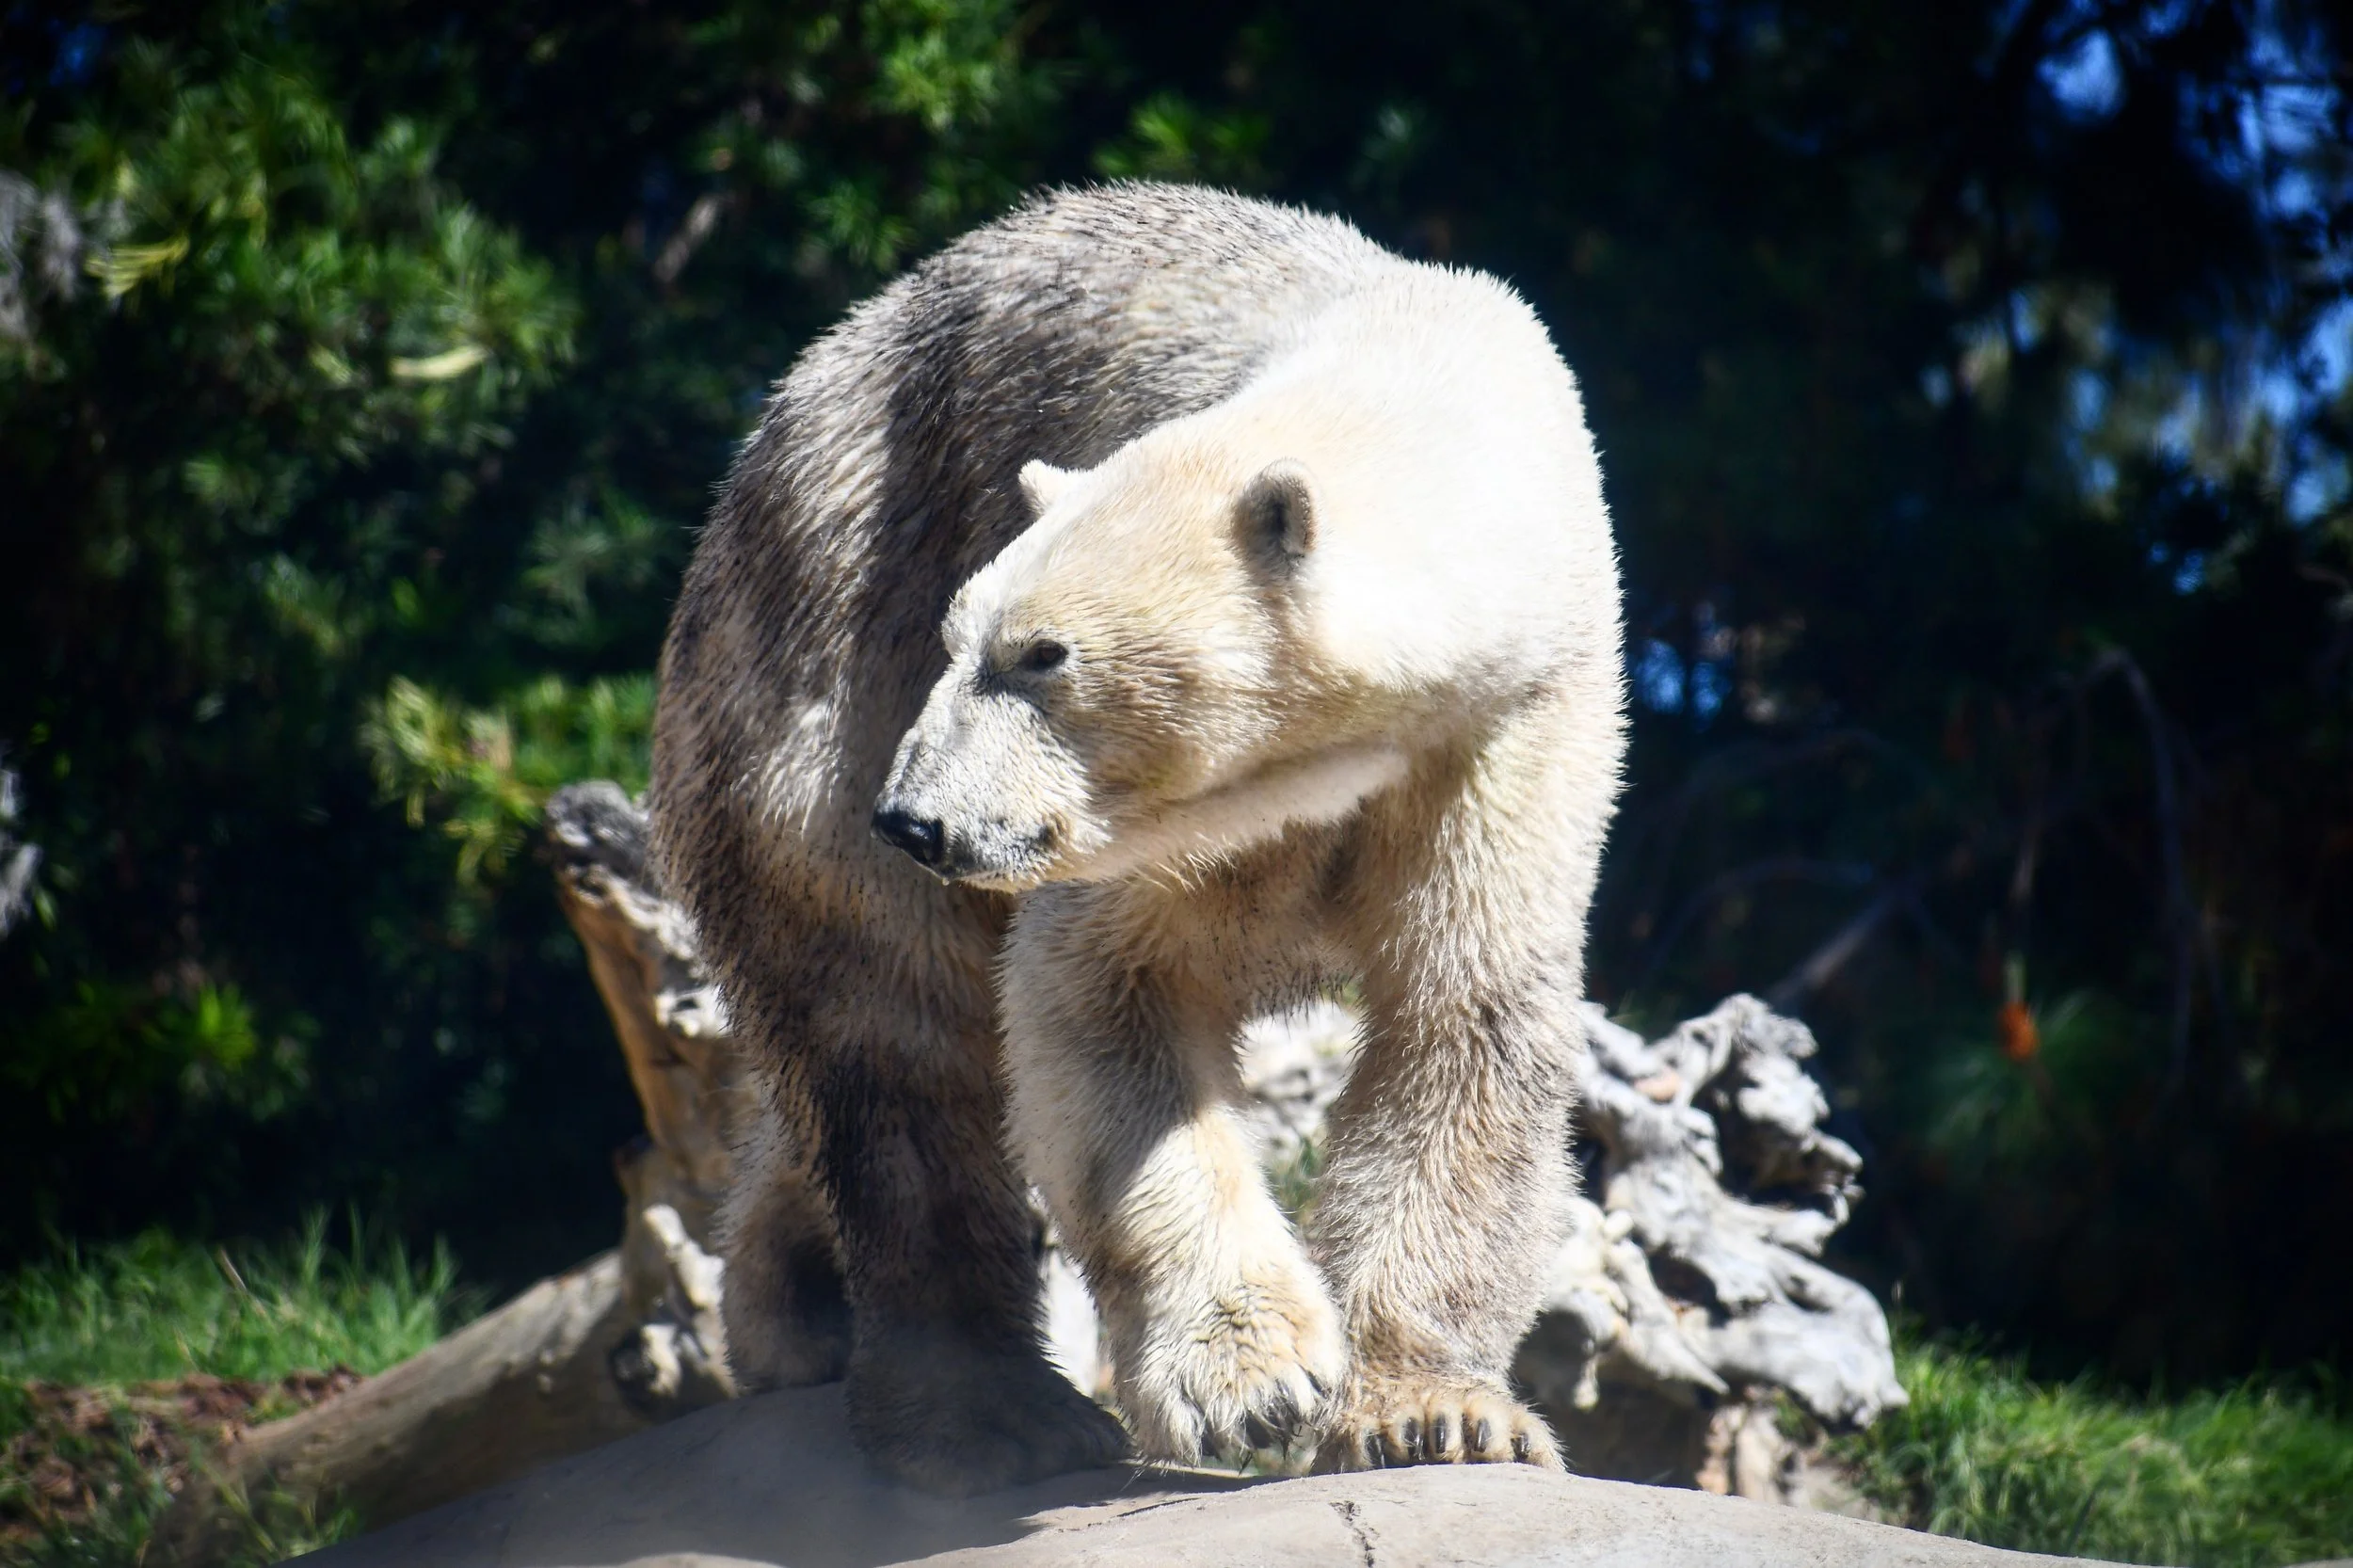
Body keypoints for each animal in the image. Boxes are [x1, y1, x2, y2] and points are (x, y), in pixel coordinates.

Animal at [649, 182, 1624, 1495]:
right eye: (962, 634)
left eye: (1042, 654)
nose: (919, 818)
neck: (1422, 376)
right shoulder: (1152, 822)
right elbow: (1106, 994)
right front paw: (1254, 1385)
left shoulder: (1509, 728)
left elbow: (1463, 1016)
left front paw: (1431, 1414)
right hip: (820, 632)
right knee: (891, 1025)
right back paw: (984, 1407)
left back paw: (790, 1299)